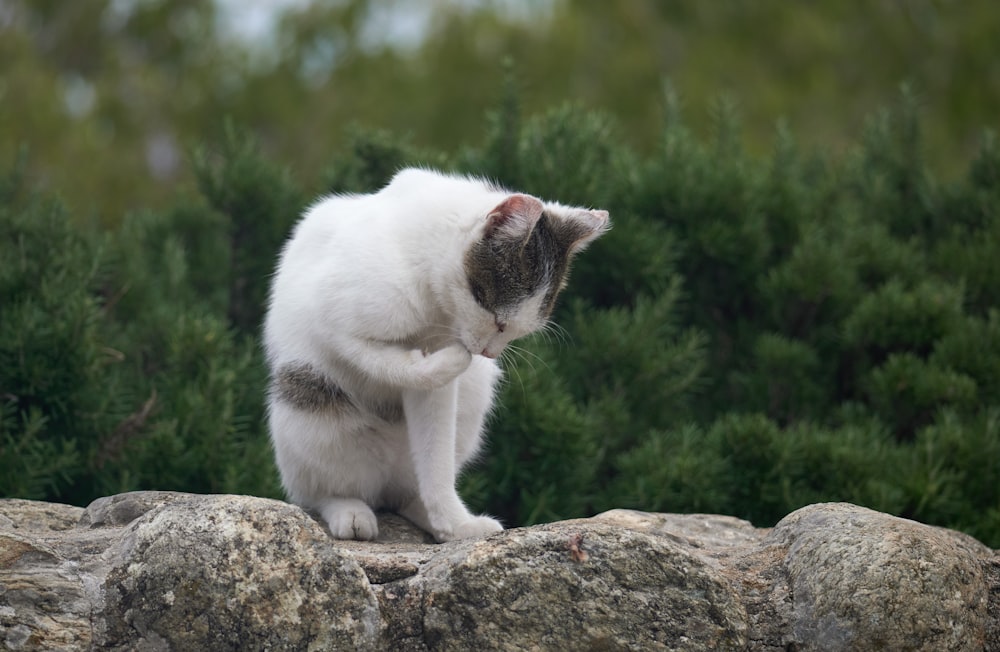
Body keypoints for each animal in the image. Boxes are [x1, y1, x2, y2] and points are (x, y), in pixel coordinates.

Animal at [264, 167, 608, 540]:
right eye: (497, 319)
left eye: (517, 331)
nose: (488, 353)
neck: (434, 305)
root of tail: (383, 488)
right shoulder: (339, 330)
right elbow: (394, 363)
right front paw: (453, 358)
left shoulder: (439, 397)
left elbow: (436, 457)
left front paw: (454, 522)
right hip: (310, 410)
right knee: (319, 492)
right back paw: (349, 511)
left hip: (471, 407)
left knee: (408, 491)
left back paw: (435, 518)